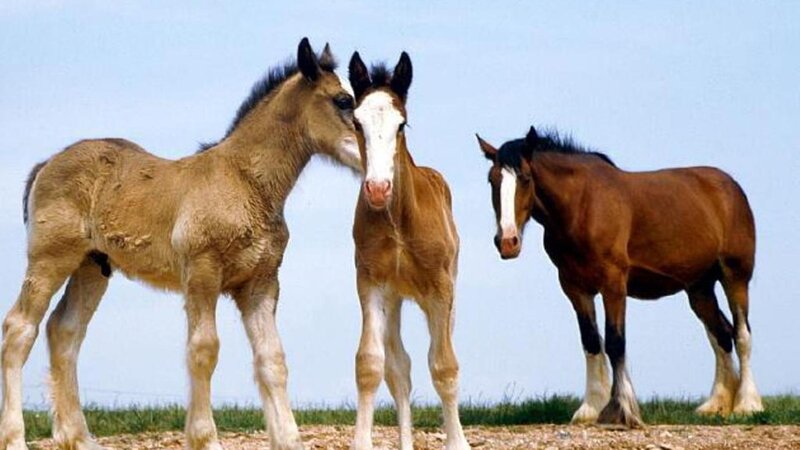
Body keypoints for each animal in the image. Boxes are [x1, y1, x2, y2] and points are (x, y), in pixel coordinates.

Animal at [0, 38, 360, 450]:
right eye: (342, 100)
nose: (373, 151)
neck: (244, 181)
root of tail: (46, 163)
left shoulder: (260, 283)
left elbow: (272, 358)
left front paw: (287, 439)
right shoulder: (202, 274)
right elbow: (204, 350)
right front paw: (205, 438)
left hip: (92, 267)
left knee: (64, 331)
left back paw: (79, 438)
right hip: (50, 259)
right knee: (19, 328)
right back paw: (15, 437)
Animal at [347, 52, 470, 450]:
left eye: (401, 124)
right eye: (356, 121)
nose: (377, 188)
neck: (400, 222)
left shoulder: (440, 289)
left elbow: (445, 366)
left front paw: (458, 442)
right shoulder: (371, 284)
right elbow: (371, 364)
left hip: (447, 294)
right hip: (396, 298)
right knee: (399, 367)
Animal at [476, 126, 763, 427]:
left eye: (525, 178)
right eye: (492, 180)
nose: (507, 241)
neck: (582, 205)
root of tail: (729, 186)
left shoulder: (613, 283)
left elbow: (615, 342)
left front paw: (621, 409)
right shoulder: (575, 287)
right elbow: (591, 342)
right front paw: (590, 408)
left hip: (735, 276)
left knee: (742, 334)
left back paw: (747, 405)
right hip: (699, 287)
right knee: (721, 335)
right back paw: (716, 405)